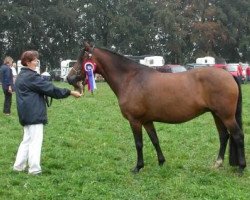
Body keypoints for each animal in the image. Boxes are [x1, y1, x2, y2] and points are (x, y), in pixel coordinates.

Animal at [66, 43, 246, 174]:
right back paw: (218, 164)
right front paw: (161, 162)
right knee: (224, 136)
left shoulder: (135, 121)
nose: (69, 78)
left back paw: (241, 168)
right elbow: (155, 140)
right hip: (217, 114)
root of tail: (228, 75)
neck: (131, 79)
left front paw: (138, 167)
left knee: (237, 135)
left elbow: (139, 143)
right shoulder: (147, 121)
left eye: (82, 58)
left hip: (226, 116)